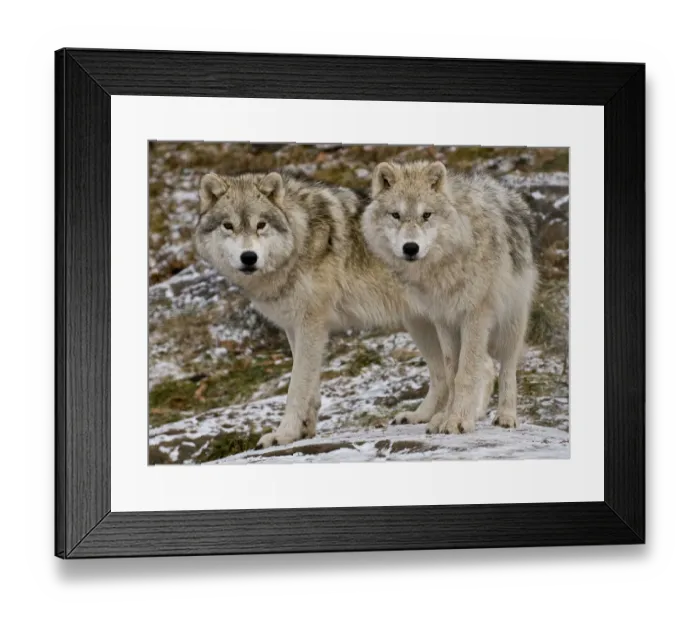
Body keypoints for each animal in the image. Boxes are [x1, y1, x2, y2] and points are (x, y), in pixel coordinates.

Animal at [194, 170, 448, 448]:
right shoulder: (295, 327)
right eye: (228, 226)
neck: (301, 238)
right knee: (440, 373)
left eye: (261, 225)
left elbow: (296, 387)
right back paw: (421, 415)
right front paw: (304, 429)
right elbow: (309, 386)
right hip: (418, 324)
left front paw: (284, 434)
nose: (248, 257)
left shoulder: (311, 324)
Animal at [361, 160, 537, 434]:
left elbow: (466, 374)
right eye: (396, 215)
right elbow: (452, 372)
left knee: (507, 369)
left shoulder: (475, 316)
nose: (410, 248)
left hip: (511, 324)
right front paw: (446, 419)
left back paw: (506, 416)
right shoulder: (444, 319)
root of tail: (509, 194)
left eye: (426, 215)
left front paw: (458, 421)